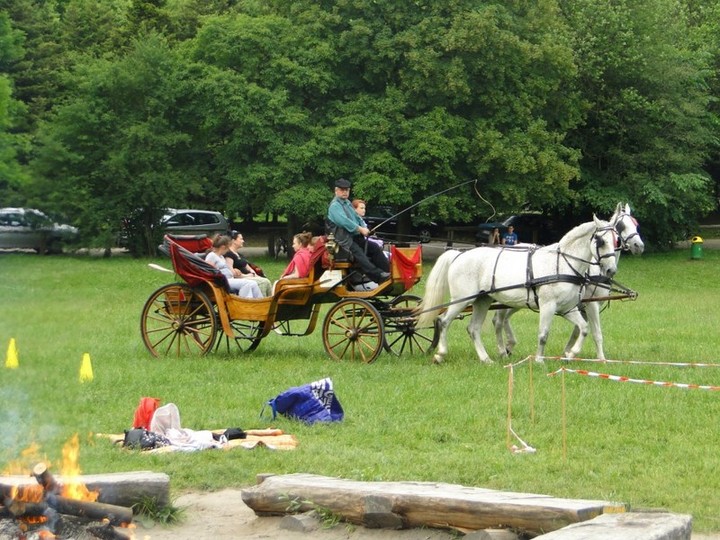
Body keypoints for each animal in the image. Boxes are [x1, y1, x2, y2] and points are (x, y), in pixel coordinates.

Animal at [420, 217, 616, 364]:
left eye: (616, 241)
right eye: (601, 241)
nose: (611, 270)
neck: (562, 264)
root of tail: (459, 254)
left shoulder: (567, 308)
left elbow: (584, 328)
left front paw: (571, 354)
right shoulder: (548, 306)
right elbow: (543, 334)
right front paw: (539, 360)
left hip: (482, 301)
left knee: (473, 328)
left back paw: (486, 359)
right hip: (462, 299)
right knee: (443, 321)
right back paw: (440, 354)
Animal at [492, 205, 644, 360]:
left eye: (636, 224)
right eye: (621, 226)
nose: (639, 245)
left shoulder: (577, 306)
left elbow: (578, 330)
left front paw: (568, 352)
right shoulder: (591, 304)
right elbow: (596, 333)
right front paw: (600, 358)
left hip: (519, 301)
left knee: (503, 318)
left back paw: (509, 346)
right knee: (498, 319)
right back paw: (505, 348)